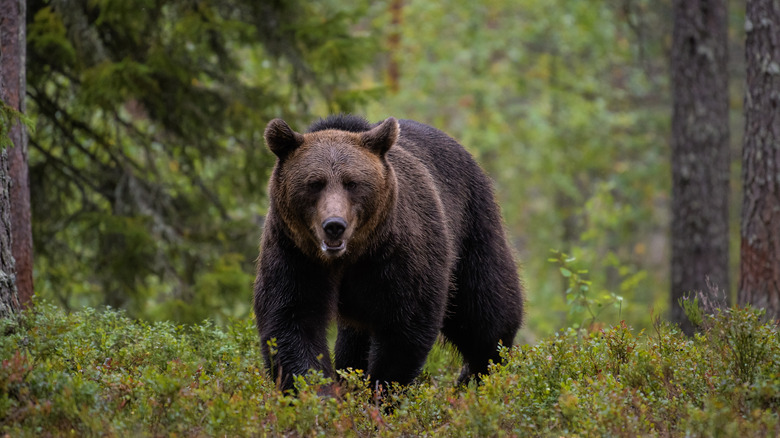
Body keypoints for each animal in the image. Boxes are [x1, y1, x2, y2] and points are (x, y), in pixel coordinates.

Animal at [254, 114, 524, 392]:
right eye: (314, 183)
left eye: (352, 183)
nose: (334, 225)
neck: (350, 256)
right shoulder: (295, 253)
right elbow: (292, 321)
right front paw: (319, 391)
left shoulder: (398, 254)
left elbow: (405, 327)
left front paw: (382, 390)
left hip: (472, 227)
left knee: (485, 313)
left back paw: (479, 376)